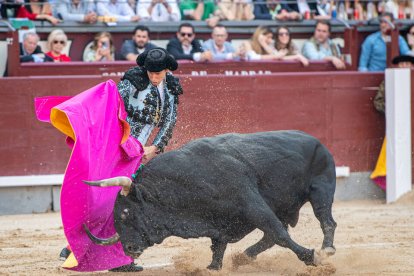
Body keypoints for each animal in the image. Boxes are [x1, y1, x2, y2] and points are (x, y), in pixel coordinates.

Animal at [85, 131, 336, 270]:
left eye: (126, 212)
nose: (128, 248)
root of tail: (317, 142)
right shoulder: (218, 222)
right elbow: (217, 250)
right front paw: (213, 266)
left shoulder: (252, 204)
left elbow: (280, 234)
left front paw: (311, 257)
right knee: (270, 236)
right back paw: (244, 257)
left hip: (321, 190)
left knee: (326, 221)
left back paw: (327, 249)